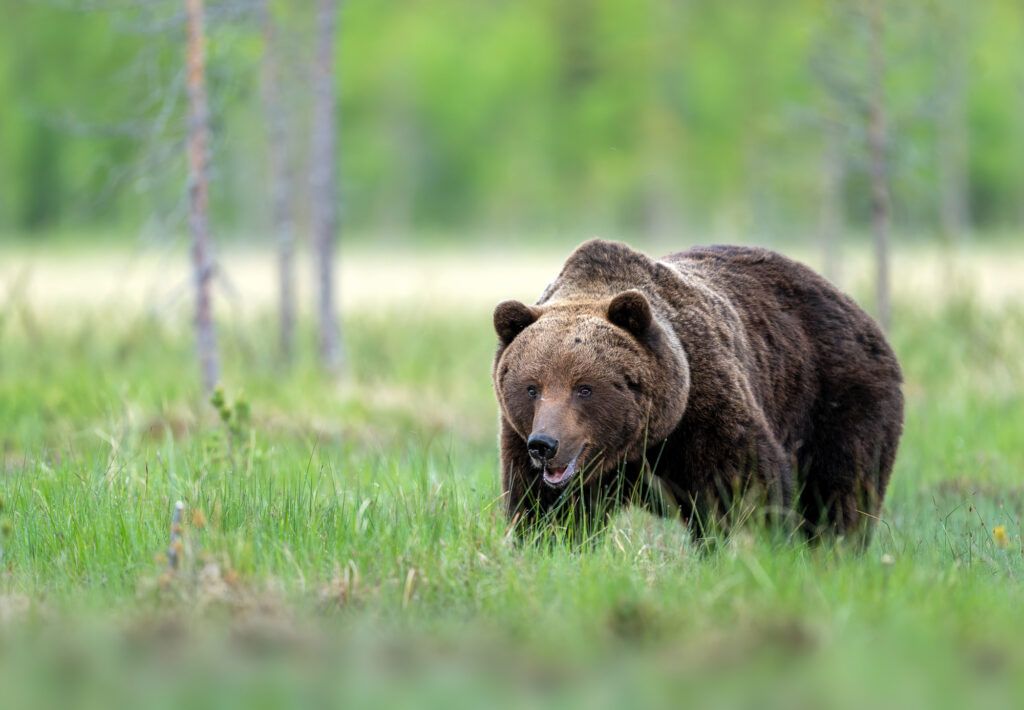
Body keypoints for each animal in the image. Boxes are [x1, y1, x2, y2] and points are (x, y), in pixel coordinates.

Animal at [491, 239, 904, 545]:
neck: (642, 441)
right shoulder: (520, 440)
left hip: (837, 397)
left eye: (584, 388)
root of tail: (855, 308)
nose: (545, 445)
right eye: (532, 387)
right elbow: (545, 511)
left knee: (842, 493)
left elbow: (747, 488)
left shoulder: (703, 409)